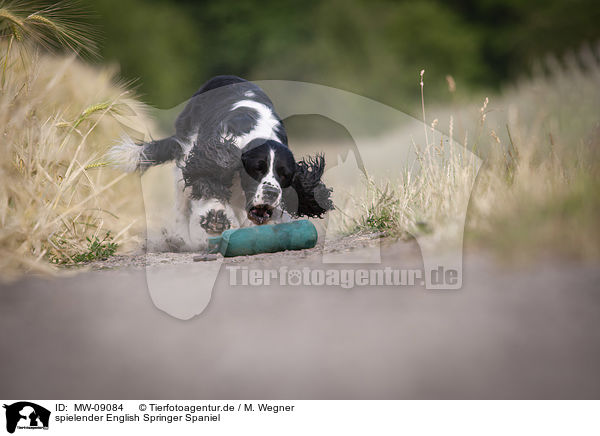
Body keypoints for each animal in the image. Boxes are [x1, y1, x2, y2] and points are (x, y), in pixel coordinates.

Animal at [108, 76, 332, 250]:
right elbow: (209, 187)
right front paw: (215, 216)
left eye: (284, 175)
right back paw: (180, 240)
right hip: (185, 158)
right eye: (256, 169)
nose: (270, 193)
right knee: (182, 205)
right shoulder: (210, 159)